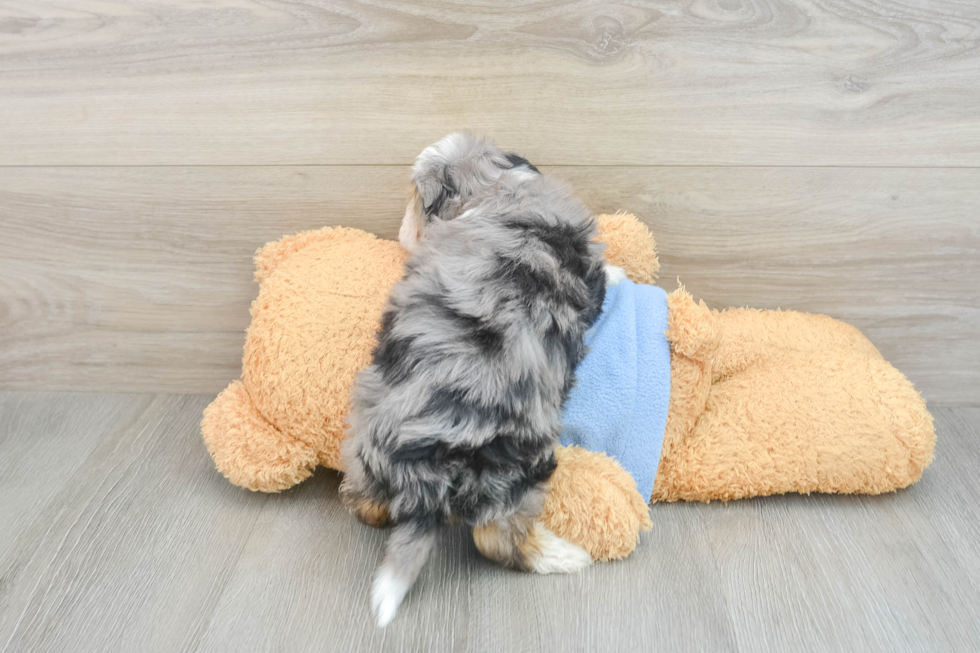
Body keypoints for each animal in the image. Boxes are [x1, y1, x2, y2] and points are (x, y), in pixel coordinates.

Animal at [340, 132, 608, 628]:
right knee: (496, 539)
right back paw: (564, 556)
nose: (402, 229)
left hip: (364, 431)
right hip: (523, 464)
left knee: (365, 502)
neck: (491, 189)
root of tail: (427, 470)